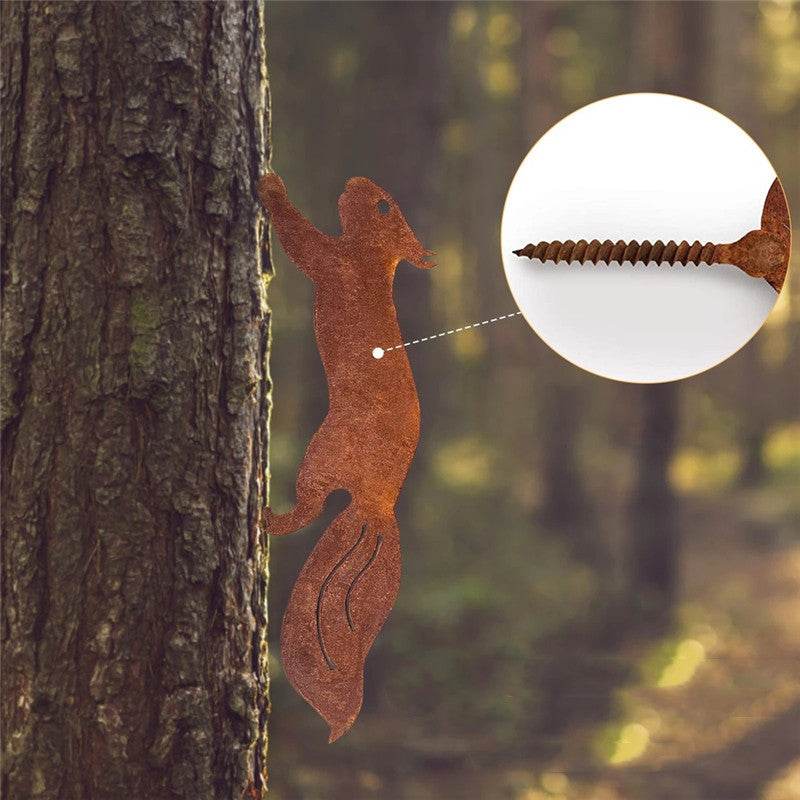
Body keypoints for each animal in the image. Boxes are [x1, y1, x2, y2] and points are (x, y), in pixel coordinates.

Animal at [258, 173, 434, 741]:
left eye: (382, 205)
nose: (355, 181)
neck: (373, 261)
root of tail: (377, 505)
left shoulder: (332, 263)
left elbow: (302, 241)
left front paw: (271, 186)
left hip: (323, 456)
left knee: (308, 509)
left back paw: (266, 513)